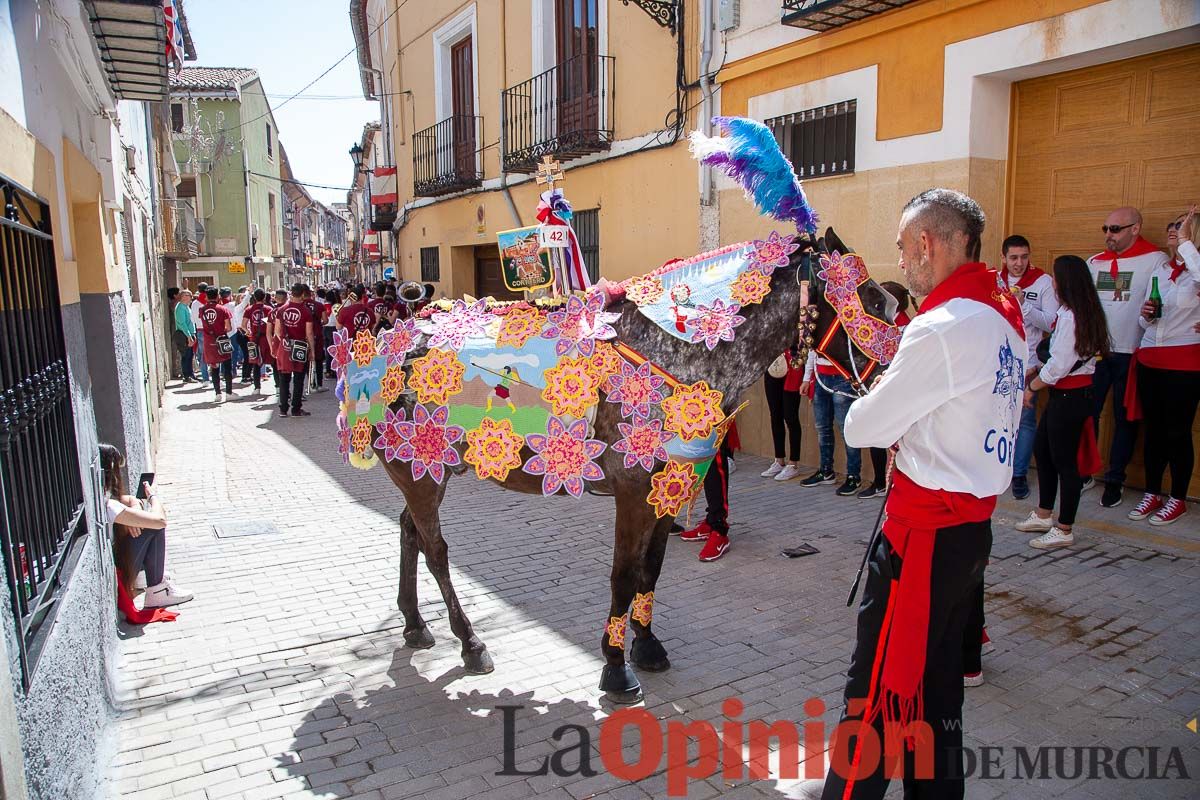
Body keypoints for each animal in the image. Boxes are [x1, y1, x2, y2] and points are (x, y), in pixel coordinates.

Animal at [328, 117, 902, 700]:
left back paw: (415, 624)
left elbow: (652, 569)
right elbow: (625, 574)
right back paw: (469, 642)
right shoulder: (632, 494)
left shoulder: (667, 490)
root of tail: (386, 341)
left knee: (410, 532)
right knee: (436, 548)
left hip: (427, 469)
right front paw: (615, 666)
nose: (892, 376)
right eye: (871, 300)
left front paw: (646, 646)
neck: (674, 350)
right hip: (420, 472)